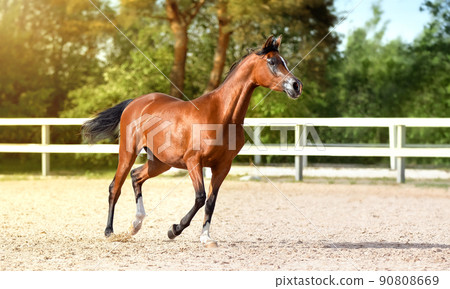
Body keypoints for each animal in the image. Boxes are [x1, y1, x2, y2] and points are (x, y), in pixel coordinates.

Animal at [83, 35, 304, 245]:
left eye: (283, 61)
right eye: (272, 62)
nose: (296, 86)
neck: (221, 115)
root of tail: (134, 103)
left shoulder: (222, 166)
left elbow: (211, 202)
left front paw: (206, 237)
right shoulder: (194, 162)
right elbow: (200, 197)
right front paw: (174, 229)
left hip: (160, 162)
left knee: (136, 176)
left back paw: (135, 225)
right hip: (128, 152)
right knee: (115, 187)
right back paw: (110, 232)